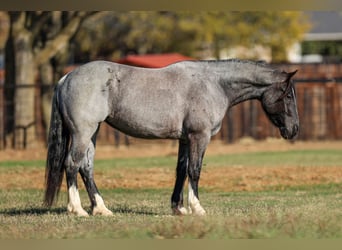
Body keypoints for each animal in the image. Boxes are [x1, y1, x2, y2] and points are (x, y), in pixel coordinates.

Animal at [44, 59, 298, 216]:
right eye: (287, 96)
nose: (294, 129)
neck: (213, 84)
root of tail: (66, 78)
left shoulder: (185, 139)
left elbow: (181, 170)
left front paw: (179, 208)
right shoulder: (199, 136)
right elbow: (195, 170)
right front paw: (197, 208)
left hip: (92, 132)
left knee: (86, 167)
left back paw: (101, 209)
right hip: (82, 132)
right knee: (72, 164)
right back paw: (77, 209)